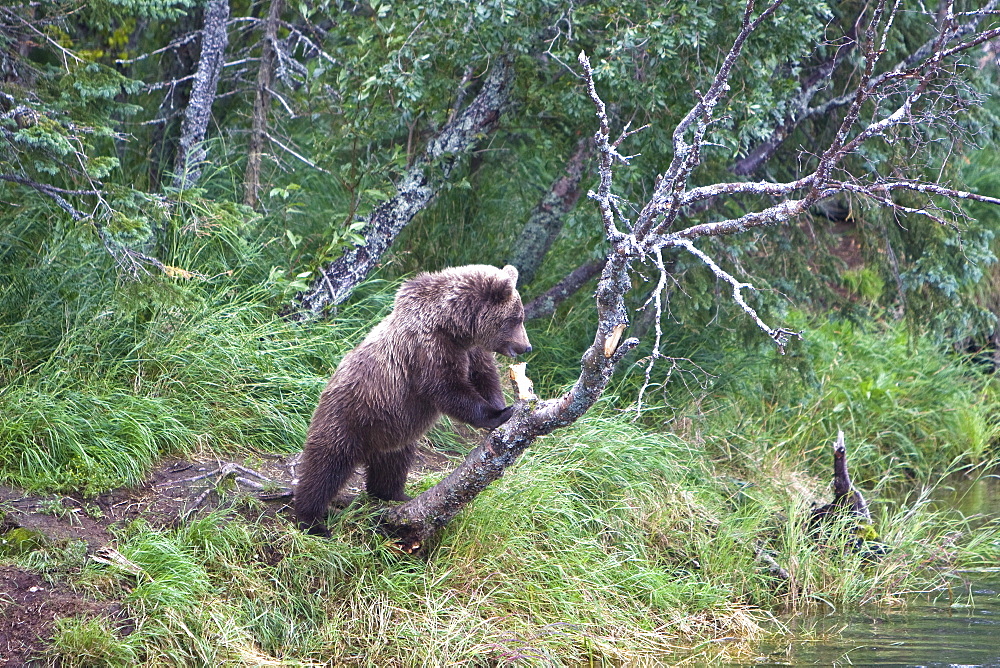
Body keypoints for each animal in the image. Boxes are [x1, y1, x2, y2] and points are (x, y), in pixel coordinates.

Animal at [292, 264, 532, 536]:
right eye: (516, 319)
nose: (527, 347)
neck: (452, 326)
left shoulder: (472, 350)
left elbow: (485, 376)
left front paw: (502, 406)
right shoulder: (426, 349)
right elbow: (447, 389)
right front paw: (498, 415)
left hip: (392, 431)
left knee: (393, 466)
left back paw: (394, 495)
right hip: (348, 417)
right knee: (325, 468)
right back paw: (312, 521)